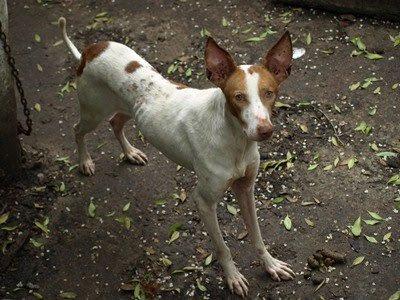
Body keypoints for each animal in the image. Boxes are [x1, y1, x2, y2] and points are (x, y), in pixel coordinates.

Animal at [60, 17, 296, 296]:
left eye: (269, 93)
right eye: (239, 97)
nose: (265, 130)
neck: (235, 140)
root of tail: (91, 49)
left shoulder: (246, 189)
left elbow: (257, 236)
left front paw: (271, 265)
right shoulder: (204, 202)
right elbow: (222, 247)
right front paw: (233, 277)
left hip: (127, 108)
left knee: (115, 123)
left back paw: (130, 153)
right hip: (92, 112)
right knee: (77, 130)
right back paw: (85, 161)